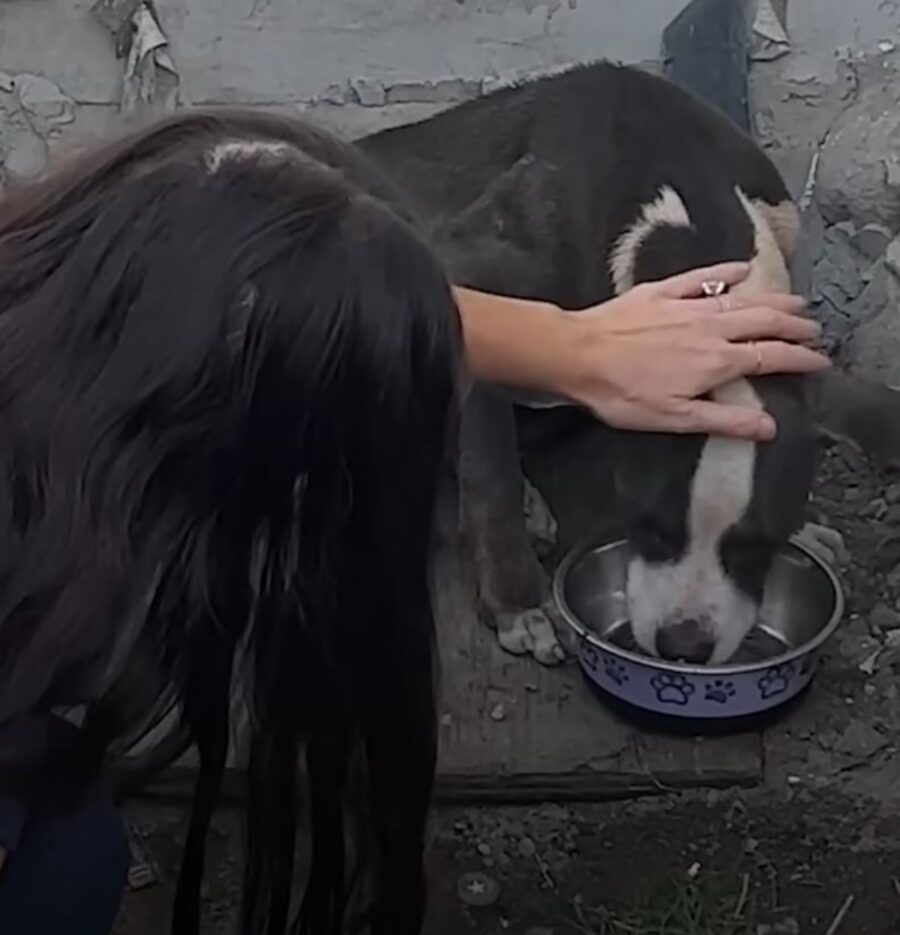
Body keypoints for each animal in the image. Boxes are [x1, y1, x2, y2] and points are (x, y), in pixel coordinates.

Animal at [358, 60, 900, 664]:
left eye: (757, 543)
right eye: (650, 524)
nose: (684, 646)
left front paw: (806, 529)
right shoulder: (473, 275)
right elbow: (490, 477)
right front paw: (520, 605)